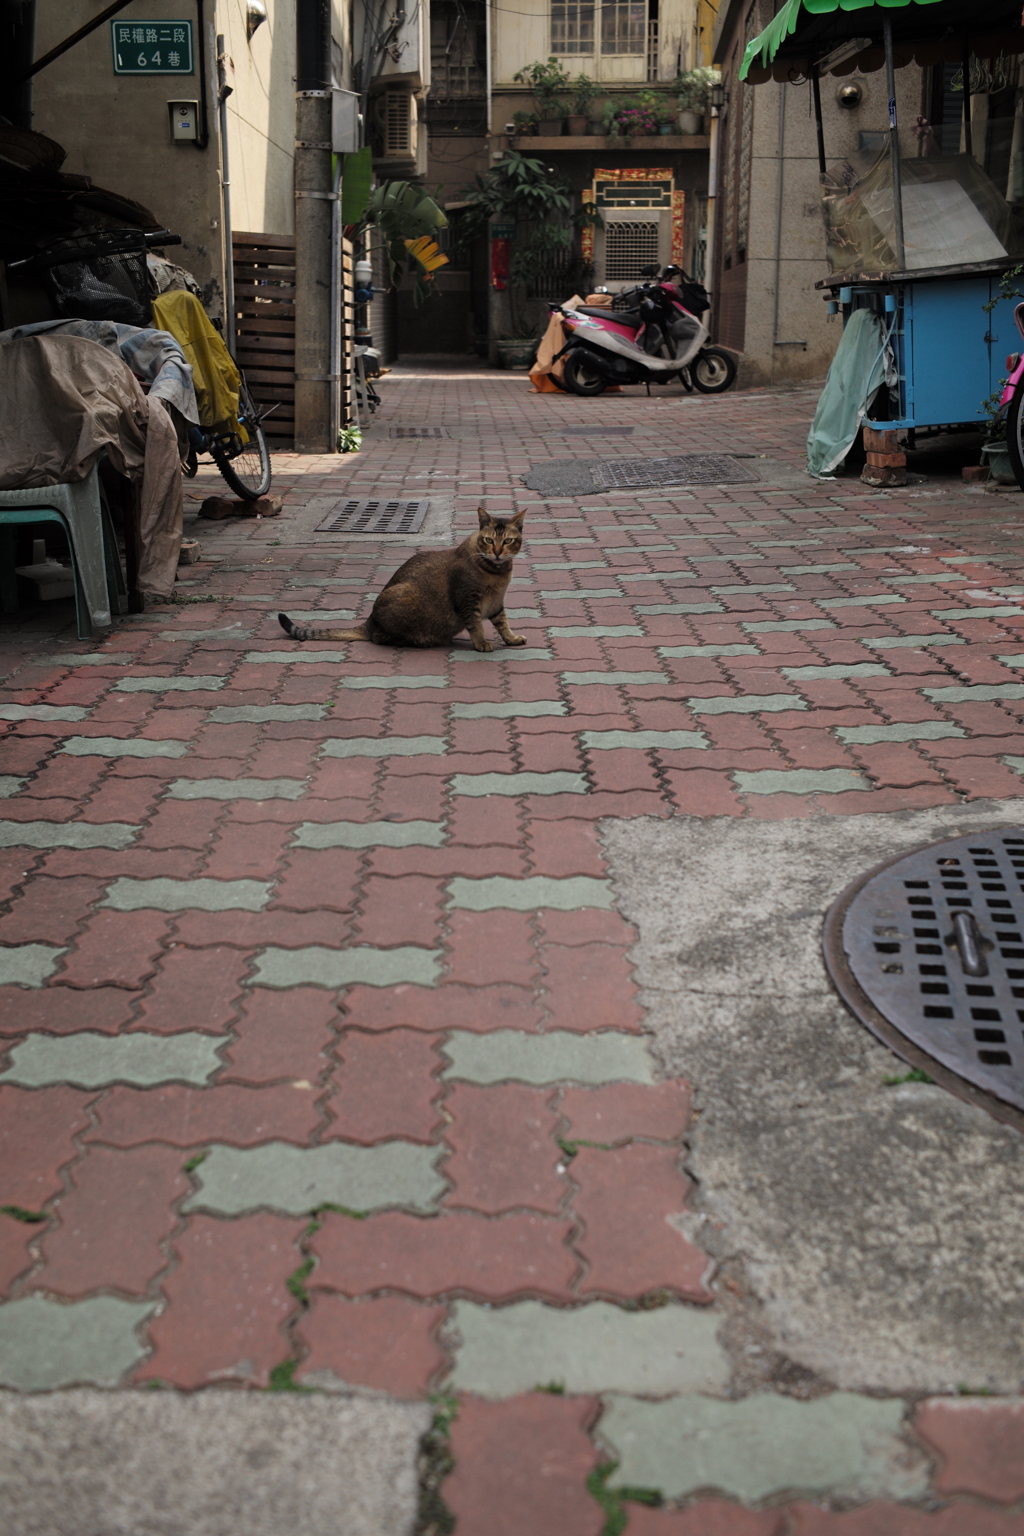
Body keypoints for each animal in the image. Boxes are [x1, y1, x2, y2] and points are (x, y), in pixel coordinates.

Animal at [277, 503, 528, 648]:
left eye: (508, 540)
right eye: (489, 540)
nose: (497, 552)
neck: (497, 572)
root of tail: (370, 621)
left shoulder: (496, 602)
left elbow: (502, 622)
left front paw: (511, 638)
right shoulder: (467, 599)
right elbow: (476, 625)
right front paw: (482, 643)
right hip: (403, 596)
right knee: (379, 637)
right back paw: (419, 640)